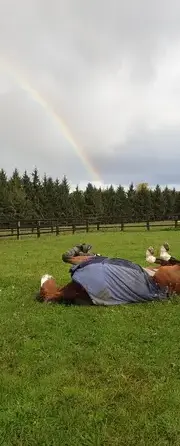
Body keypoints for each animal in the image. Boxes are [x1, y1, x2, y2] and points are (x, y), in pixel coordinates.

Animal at [35, 242, 180, 304]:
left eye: (43, 288)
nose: (44, 276)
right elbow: (68, 257)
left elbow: (68, 257)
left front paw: (82, 249)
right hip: (163, 273)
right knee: (170, 260)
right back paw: (159, 252)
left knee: (169, 261)